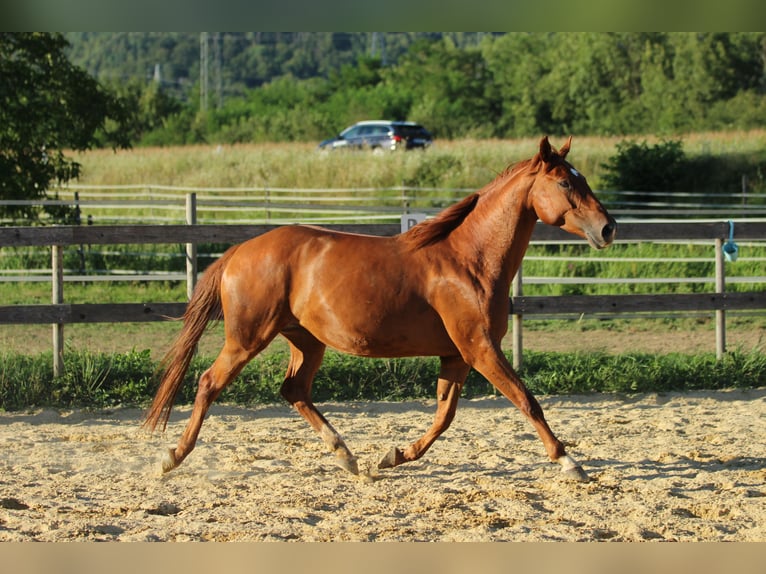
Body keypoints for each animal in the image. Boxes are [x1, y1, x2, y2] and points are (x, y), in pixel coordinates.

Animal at [144, 137, 616, 484]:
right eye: (565, 184)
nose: (608, 228)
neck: (470, 260)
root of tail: (239, 251)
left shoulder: (457, 355)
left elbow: (444, 416)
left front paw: (393, 455)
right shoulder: (480, 348)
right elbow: (527, 401)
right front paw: (571, 464)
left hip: (306, 341)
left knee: (294, 391)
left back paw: (348, 459)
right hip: (247, 338)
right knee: (209, 383)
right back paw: (171, 458)